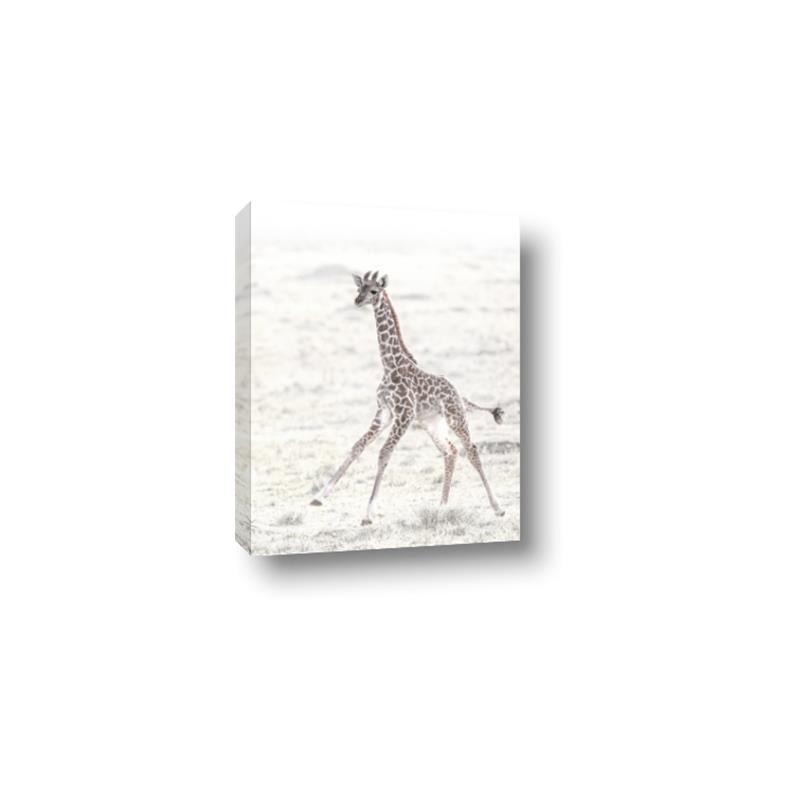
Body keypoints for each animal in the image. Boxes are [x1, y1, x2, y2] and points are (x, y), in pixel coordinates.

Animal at [310, 270, 505, 525]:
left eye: (374, 290)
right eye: (359, 288)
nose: (358, 301)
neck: (390, 364)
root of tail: (459, 395)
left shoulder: (404, 414)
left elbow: (384, 453)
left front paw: (368, 513)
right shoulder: (384, 412)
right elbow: (357, 446)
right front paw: (319, 497)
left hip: (455, 417)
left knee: (471, 449)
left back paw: (497, 507)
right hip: (432, 424)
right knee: (450, 451)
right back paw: (442, 506)